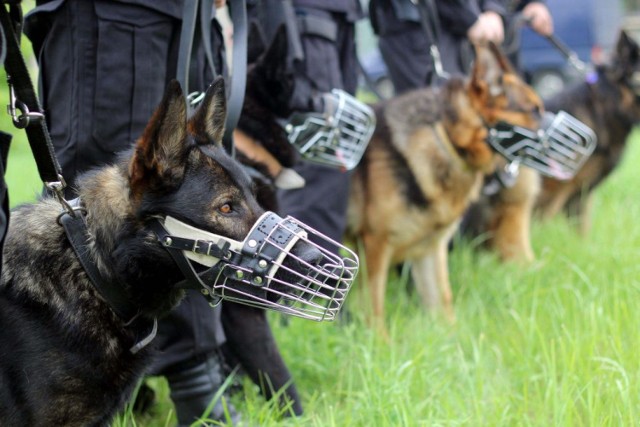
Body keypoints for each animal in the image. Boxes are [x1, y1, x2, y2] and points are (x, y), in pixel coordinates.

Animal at [348, 42, 544, 332]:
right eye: (533, 111)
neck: (446, 138)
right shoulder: (374, 246)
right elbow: (374, 309)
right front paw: (380, 341)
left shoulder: (431, 249)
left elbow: (443, 300)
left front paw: (453, 338)